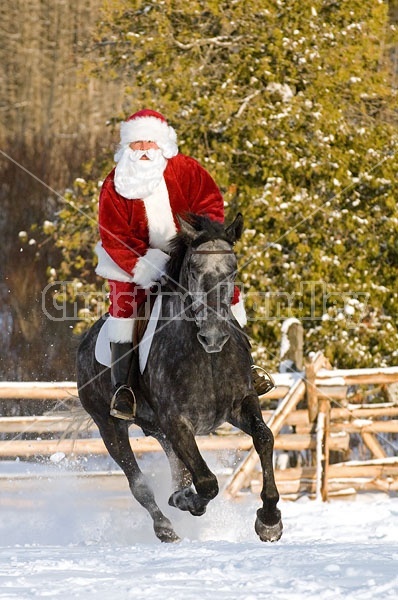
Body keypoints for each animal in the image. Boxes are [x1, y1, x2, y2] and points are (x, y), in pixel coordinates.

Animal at [77, 214, 282, 544]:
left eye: (233, 268)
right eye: (194, 270)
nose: (213, 336)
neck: (207, 358)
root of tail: (84, 342)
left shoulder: (240, 404)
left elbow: (264, 438)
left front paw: (270, 518)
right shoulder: (176, 420)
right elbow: (207, 482)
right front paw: (189, 500)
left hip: (159, 430)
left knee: (176, 465)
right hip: (110, 427)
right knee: (139, 484)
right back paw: (165, 526)